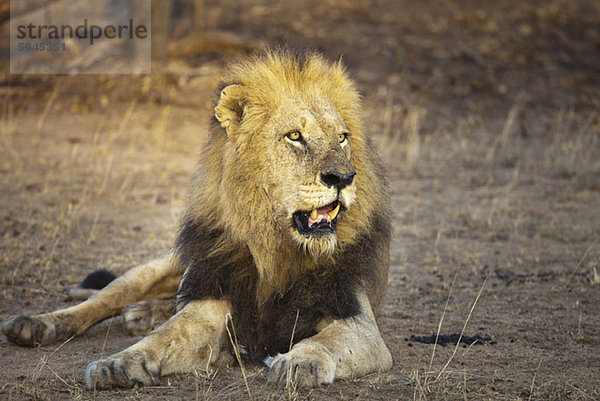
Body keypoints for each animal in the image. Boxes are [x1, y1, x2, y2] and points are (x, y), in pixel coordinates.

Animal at [2, 49, 394, 388]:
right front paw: (117, 364)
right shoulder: (209, 299)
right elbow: (163, 337)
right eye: (295, 136)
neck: (274, 251)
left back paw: (141, 313)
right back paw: (36, 324)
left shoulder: (358, 321)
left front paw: (299, 361)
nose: (344, 177)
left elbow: (325, 343)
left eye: (342, 138)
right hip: (158, 266)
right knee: (102, 300)